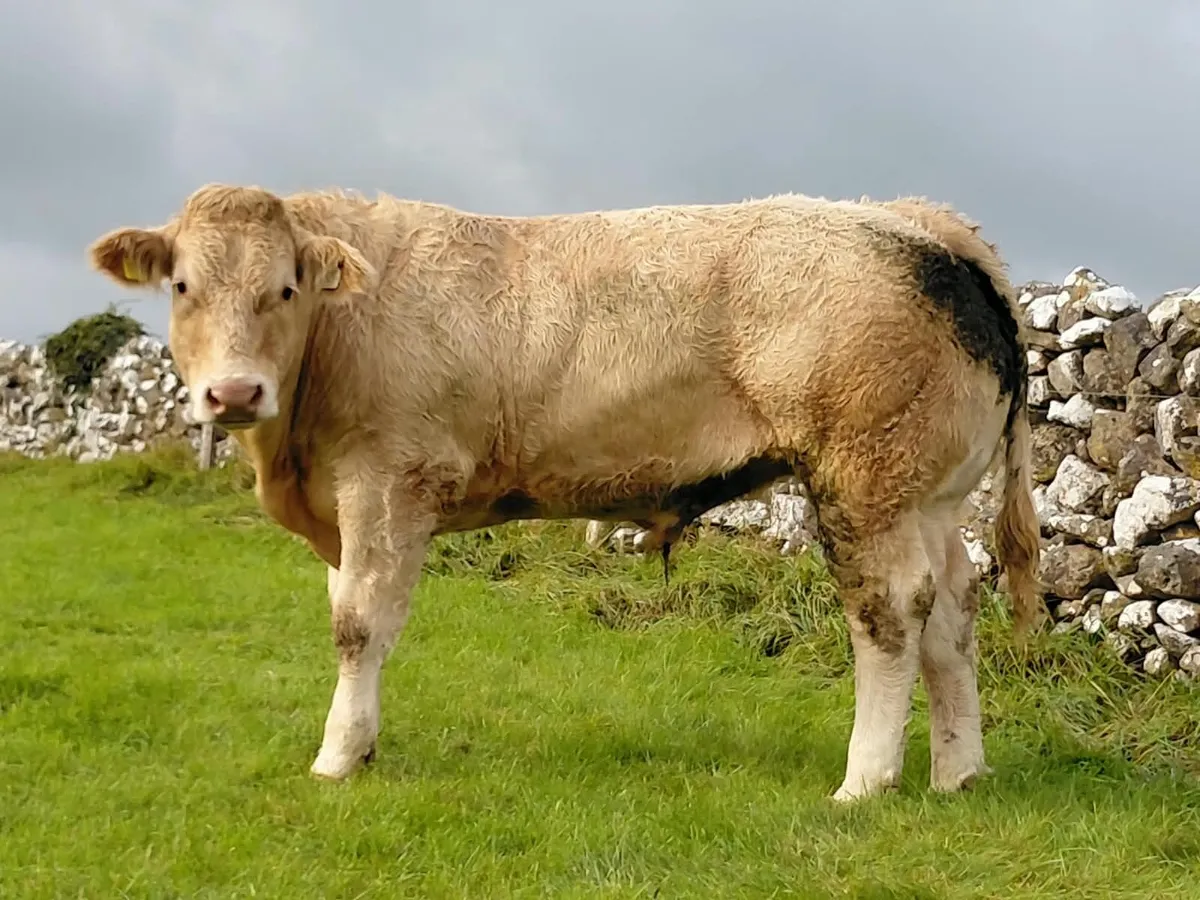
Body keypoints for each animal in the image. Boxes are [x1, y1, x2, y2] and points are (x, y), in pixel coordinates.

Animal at [86, 183, 1042, 802]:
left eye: (283, 288)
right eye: (183, 287)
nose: (233, 394)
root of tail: (914, 219)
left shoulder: (388, 481)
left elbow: (359, 625)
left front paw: (338, 758)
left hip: (863, 478)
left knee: (890, 612)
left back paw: (866, 780)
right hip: (929, 493)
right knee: (953, 610)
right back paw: (958, 773)